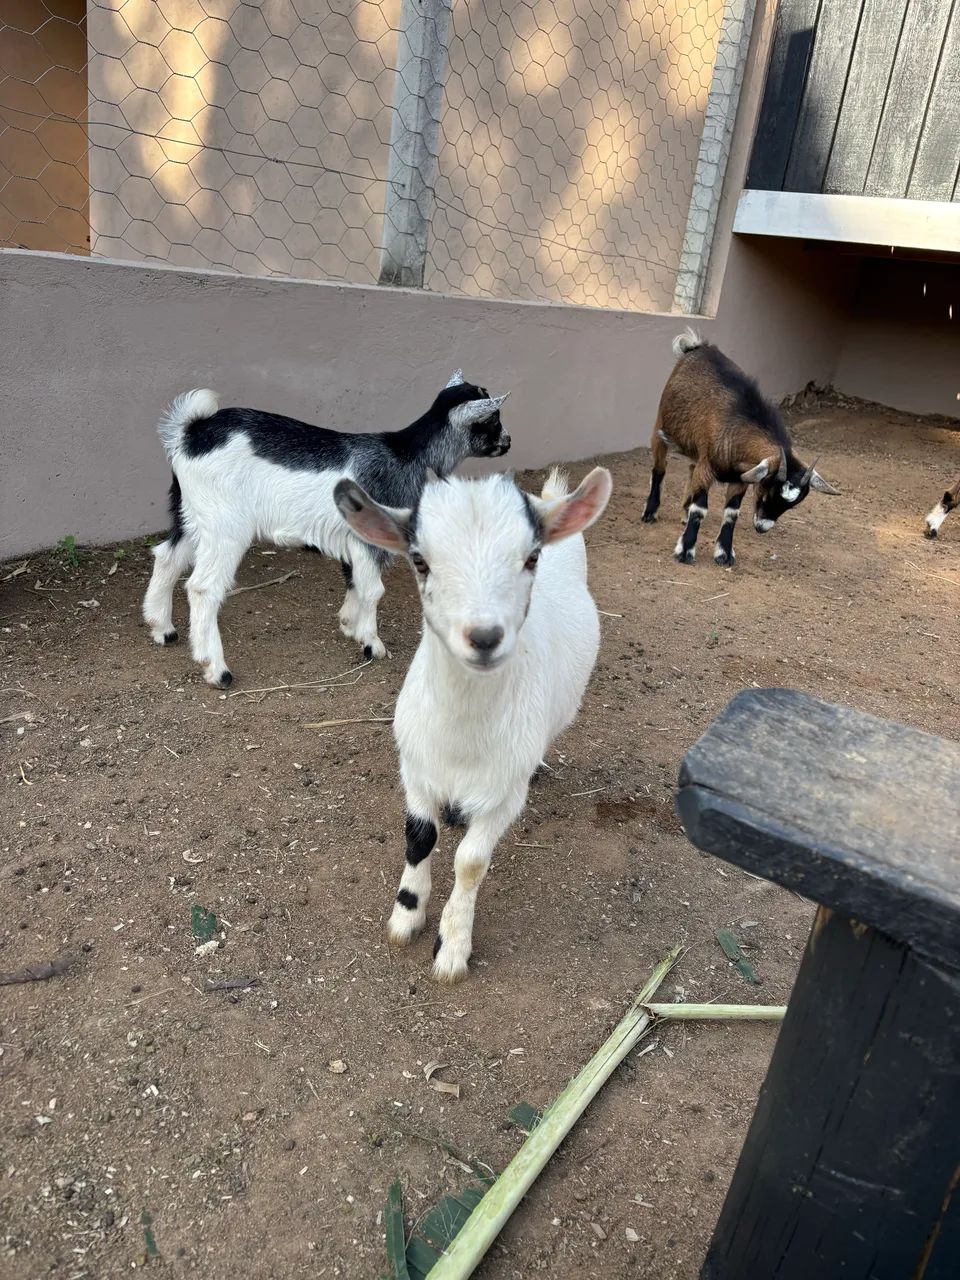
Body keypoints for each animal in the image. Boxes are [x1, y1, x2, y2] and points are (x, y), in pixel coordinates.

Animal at [142, 372, 510, 687]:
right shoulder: (369, 538)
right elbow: (373, 589)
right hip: (225, 526)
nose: (507, 442)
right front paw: (372, 644)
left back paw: (162, 629)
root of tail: (190, 433)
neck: (406, 454)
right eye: (492, 419)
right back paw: (216, 669)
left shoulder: (356, 539)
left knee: (167, 557)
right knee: (203, 587)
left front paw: (350, 626)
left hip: (190, 514)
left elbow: (354, 580)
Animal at [335, 464, 612, 983]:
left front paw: (453, 944)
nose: (484, 637)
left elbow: (470, 862)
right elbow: (419, 837)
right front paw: (406, 915)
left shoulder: (504, 793)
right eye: (419, 561)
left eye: (531, 557)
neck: (461, 739)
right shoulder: (414, 768)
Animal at [642, 330, 839, 565]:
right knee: (659, 469)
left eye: (793, 504)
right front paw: (685, 551)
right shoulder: (707, 467)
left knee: (690, 468)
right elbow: (700, 509)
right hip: (661, 426)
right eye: (768, 489)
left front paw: (724, 554)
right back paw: (650, 513)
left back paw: (683, 512)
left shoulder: (740, 479)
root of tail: (697, 346)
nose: (762, 527)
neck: (737, 424)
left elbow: (731, 513)